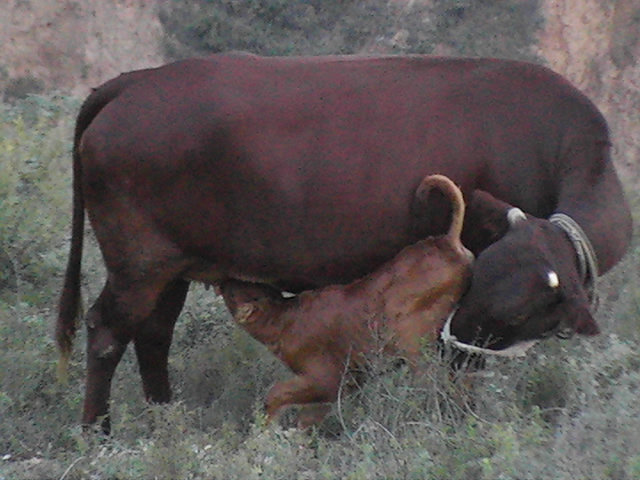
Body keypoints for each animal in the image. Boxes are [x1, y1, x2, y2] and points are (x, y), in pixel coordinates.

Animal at [220, 174, 476, 426]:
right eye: (253, 284)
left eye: (235, 291)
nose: (226, 279)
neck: (282, 316)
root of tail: (448, 242)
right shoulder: (348, 382)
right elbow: (309, 416)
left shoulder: (326, 378)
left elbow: (276, 394)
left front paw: (267, 429)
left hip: (409, 335)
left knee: (439, 380)